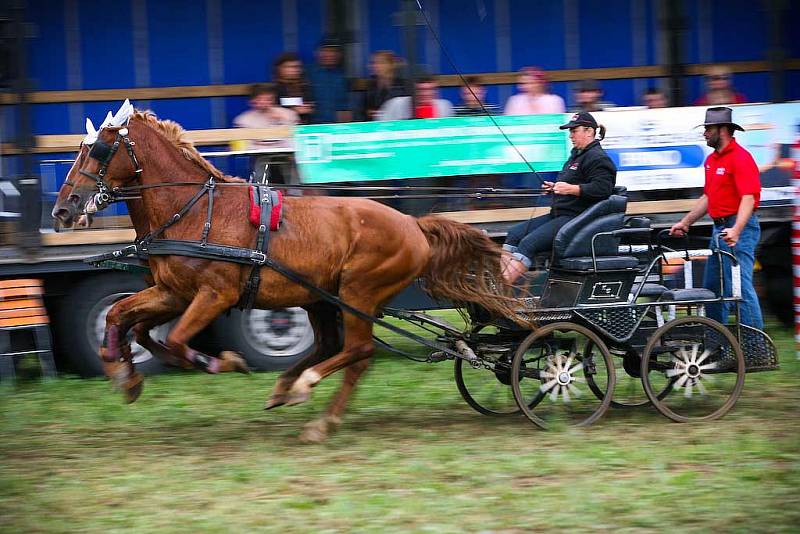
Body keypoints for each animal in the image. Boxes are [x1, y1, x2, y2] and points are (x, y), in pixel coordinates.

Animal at [53, 109, 520, 444]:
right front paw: (125, 375)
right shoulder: (172, 291)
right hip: (322, 297)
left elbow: (177, 341)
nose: (64, 208)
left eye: (99, 151)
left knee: (359, 352)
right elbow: (124, 319)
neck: (195, 211)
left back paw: (313, 405)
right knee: (336, 347)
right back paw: (289, 388)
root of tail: (413, 225)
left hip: (358, 294)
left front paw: (225, 361)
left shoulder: (214, 295)